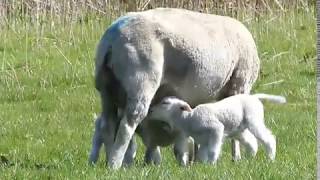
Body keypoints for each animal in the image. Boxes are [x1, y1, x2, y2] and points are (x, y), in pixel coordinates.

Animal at [95, 7, 260, 169]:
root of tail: (113, 39)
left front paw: (195, 160)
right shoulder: (239, 85)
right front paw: (236, 158)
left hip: (106, 89)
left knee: (107, 125)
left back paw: (110, 160)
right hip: (140, 81)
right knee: (127, 126)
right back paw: (115, 163)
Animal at [149, 93, 286, 164]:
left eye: (165, 103)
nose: (150, 110)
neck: (188, 118)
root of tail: (254, 96)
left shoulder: (216, 129)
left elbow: (213, 151)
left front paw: (212, 164)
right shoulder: (203, 140)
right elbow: (202, 154)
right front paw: (202, 166)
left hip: (254, 120)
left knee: (268, 139)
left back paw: (270, 158)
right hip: (239, 129)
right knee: (251, 142)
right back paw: (249, 159)